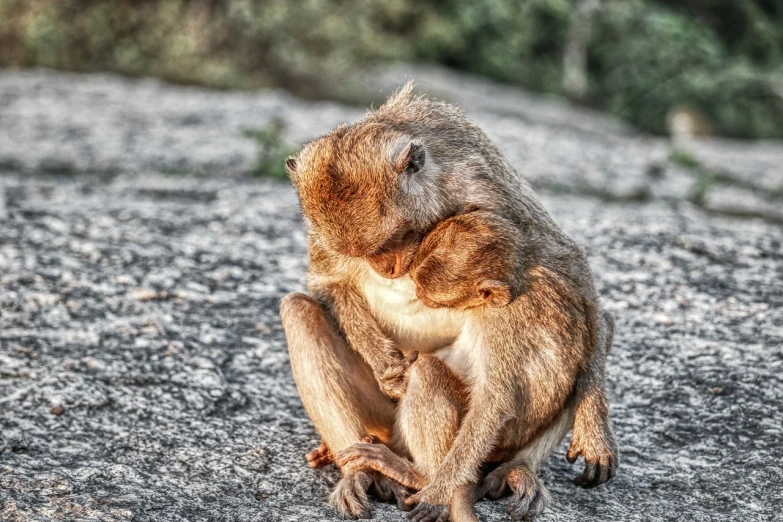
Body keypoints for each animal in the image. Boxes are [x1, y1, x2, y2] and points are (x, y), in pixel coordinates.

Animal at [278, 83, 616, 516]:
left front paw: (594, 427)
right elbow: (328, 282)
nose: (387, 268)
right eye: (366, 253)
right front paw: (384, 362)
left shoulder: (481, 182)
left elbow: (568, 264)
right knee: (299, 311)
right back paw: (360, 473)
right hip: (381, 421)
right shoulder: (322, 233)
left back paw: (503, 471)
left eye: (395, 239)